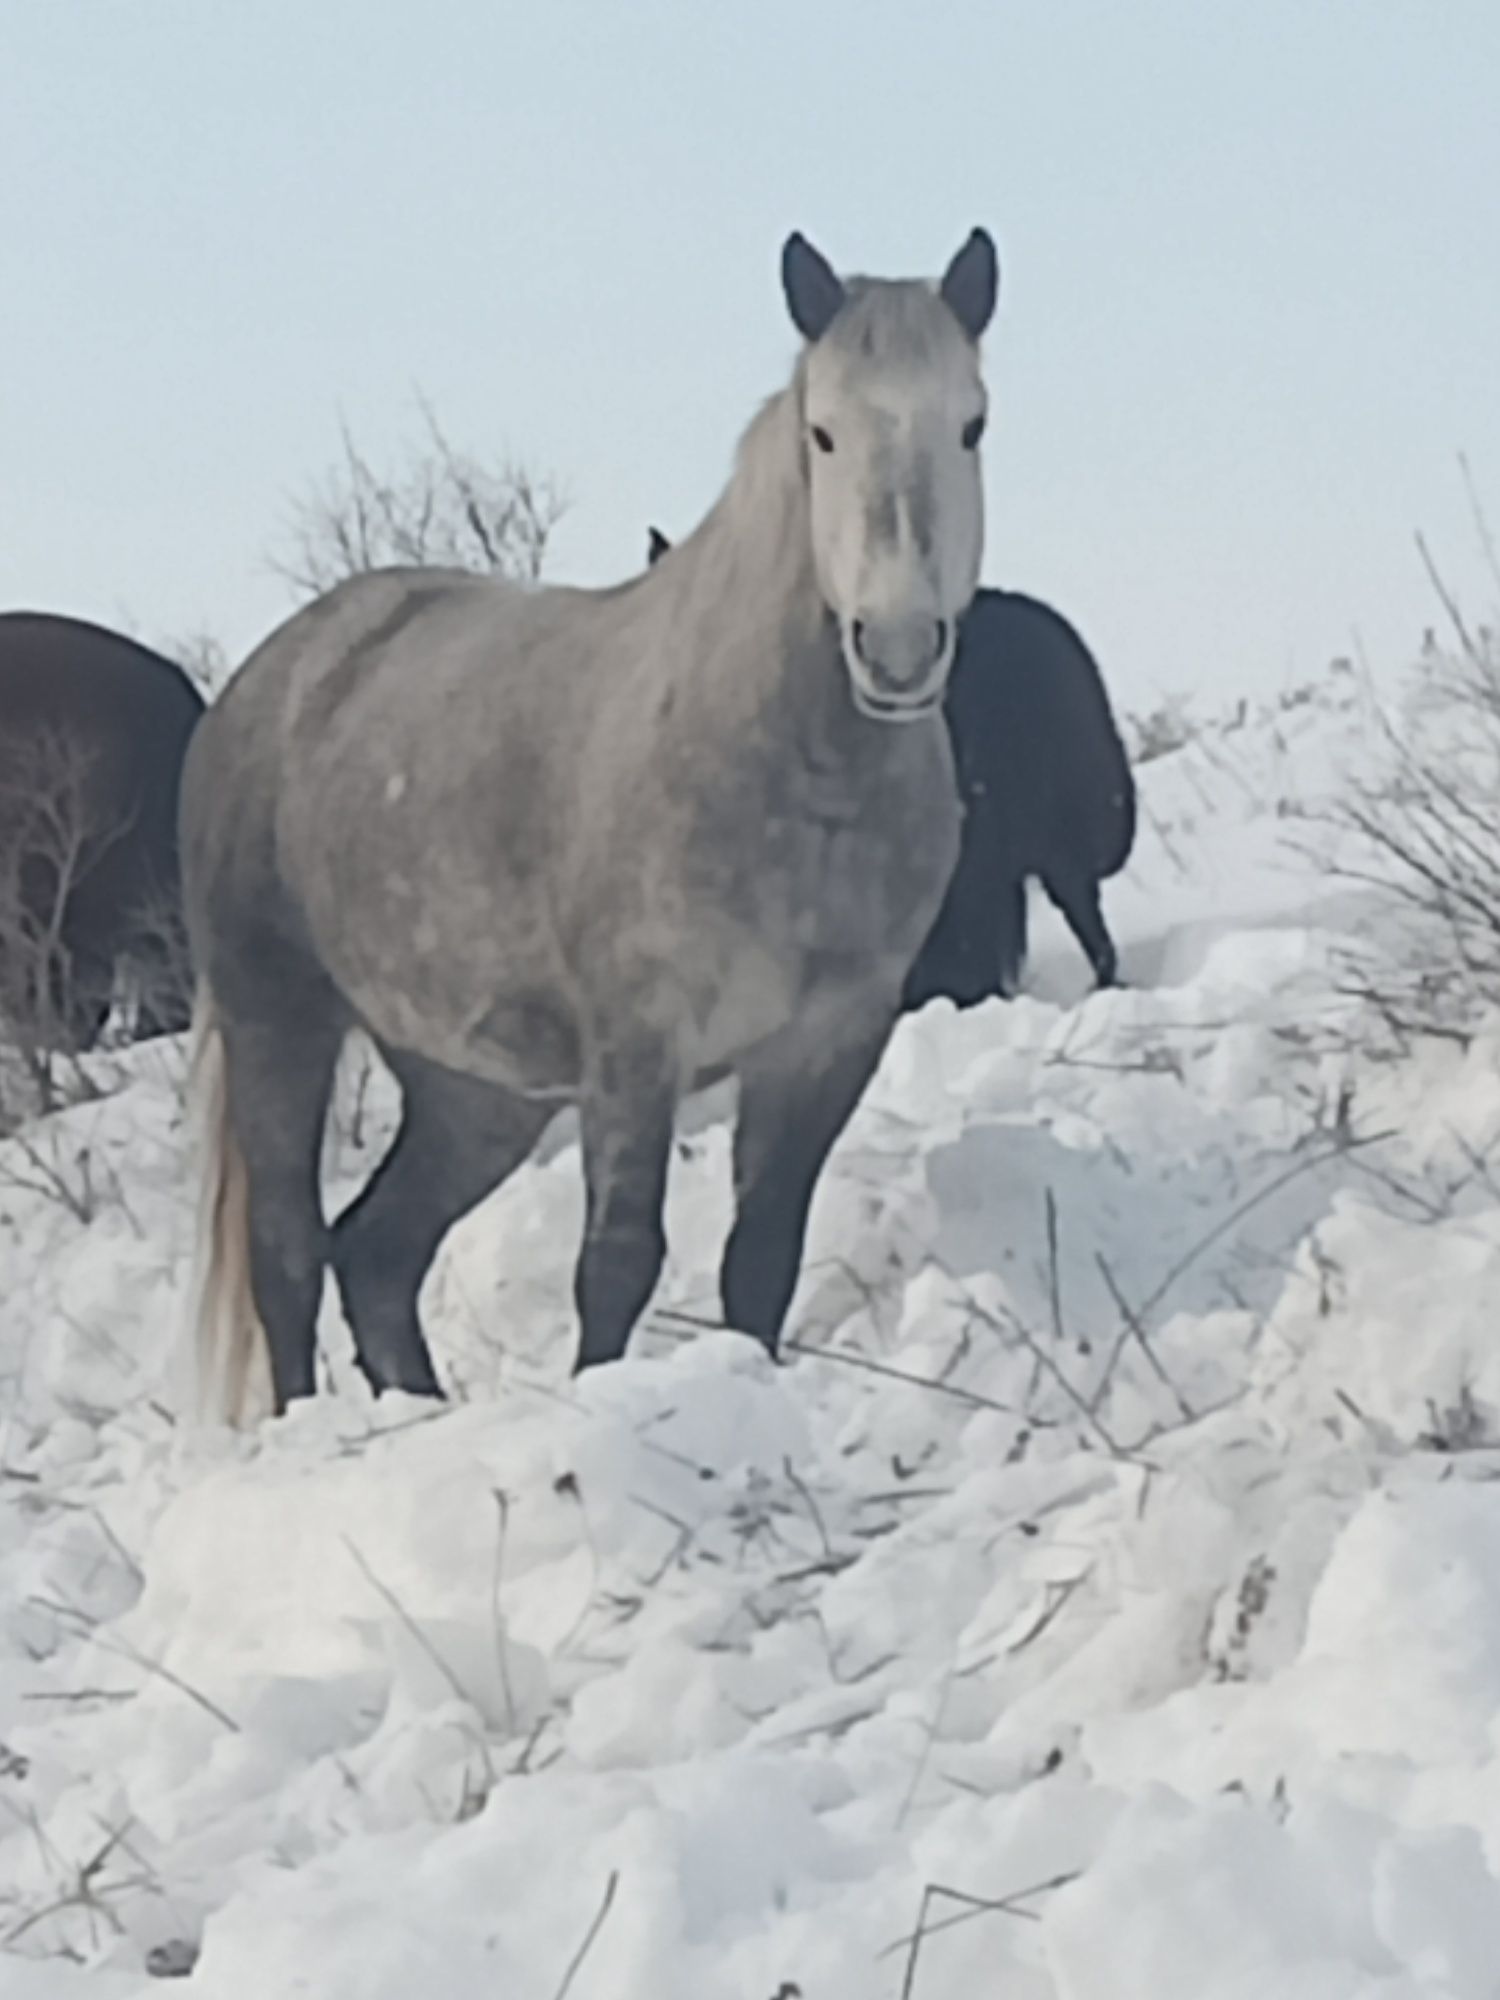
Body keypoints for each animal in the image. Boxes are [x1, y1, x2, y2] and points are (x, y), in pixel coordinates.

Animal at [188, 230, 1004, 1424]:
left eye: (972, 422)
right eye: (824, 430)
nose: (896, 649)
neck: (792, 778)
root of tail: (271, 678)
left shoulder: (826, 1043)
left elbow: (760, 1259)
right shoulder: (635, 1048)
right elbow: (616, 1263)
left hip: (475, 1093)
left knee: (375, 1255)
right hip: (279, 1023)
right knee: (290, 1255)